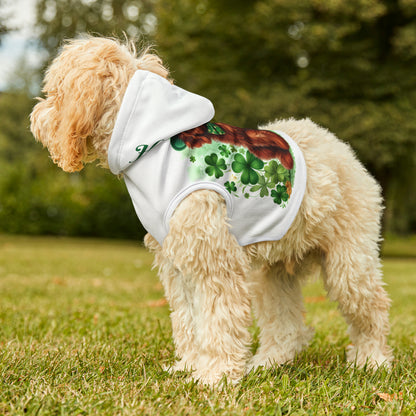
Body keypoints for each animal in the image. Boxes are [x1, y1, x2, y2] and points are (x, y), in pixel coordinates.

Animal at [30, 37, 392, 386]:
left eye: (54, 92)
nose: (35, 117)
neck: (153, 143)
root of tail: (340, 148)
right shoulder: (178, 262)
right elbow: (189, 320)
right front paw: (190, 366)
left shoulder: (214, 260)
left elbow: (219, 320)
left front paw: (215, 376)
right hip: (273, 273)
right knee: (287, 326)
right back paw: (267, 362)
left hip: (349, 263)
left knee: (372, 308)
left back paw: (372, 360)